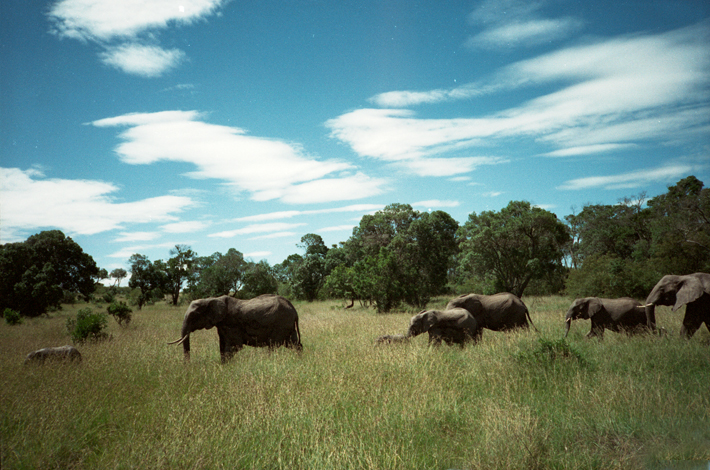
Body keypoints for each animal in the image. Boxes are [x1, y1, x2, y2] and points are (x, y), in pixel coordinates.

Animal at [168, 294, 302, 362]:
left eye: (193, 316)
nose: (187, 367)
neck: (211, 299)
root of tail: (294, 309)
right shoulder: (222, 324)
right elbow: (222, 346)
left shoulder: (231, 323)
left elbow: (235, 346)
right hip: (287, 325)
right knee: (294, 343)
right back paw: (299, 360)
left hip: (281, 324)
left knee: (273, 346)